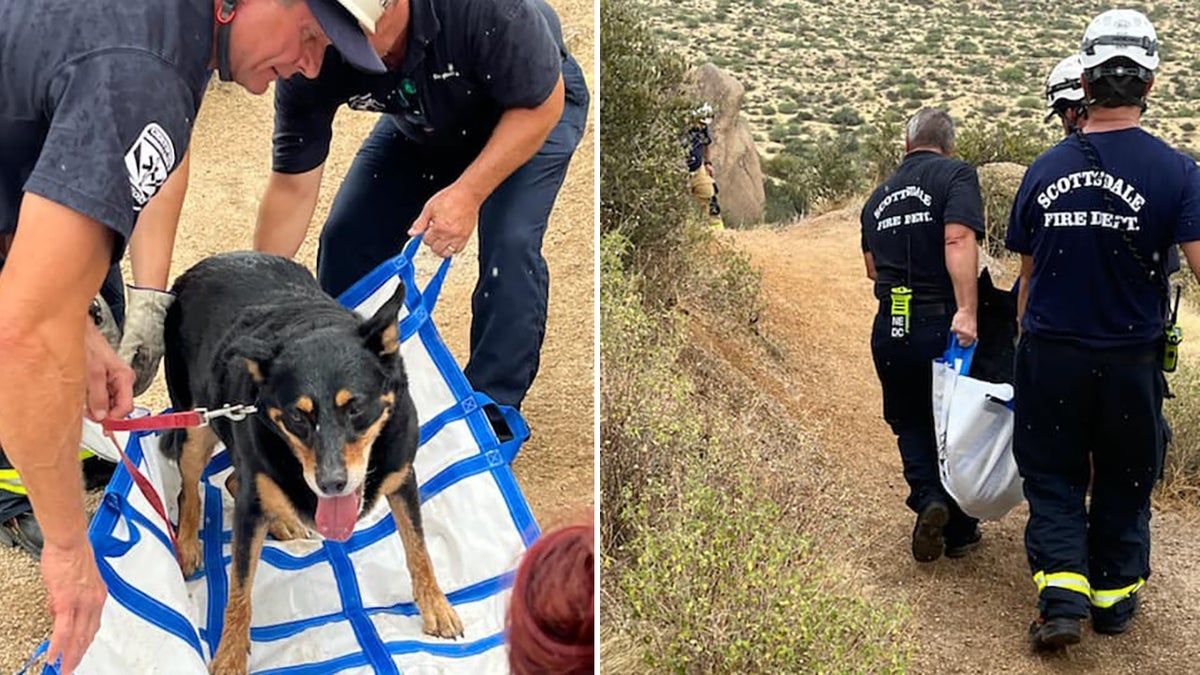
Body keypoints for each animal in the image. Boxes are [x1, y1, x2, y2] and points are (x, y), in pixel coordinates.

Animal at [157, 253, 460, 672]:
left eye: (356, 408)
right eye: (298, 417)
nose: (332, 483)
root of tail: (202, 266)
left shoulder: (402, 479)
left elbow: (418, 548)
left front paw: (436, 606)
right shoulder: (249, 508)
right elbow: (239, 590)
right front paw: (230, 655)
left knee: (235, 479)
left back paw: (281, 522)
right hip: (195, 425)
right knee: (191, 491)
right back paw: (188, 545)